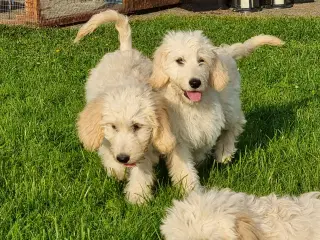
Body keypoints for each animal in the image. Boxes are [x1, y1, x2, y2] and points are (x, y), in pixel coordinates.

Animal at [74, 9, 175, 204]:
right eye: (113, 126)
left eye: (137, 126)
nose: (122, 158)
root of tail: (125, 50)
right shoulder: (105, 138)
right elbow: (108, 155)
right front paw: (117, 171)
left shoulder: (146, 146)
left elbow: (141, 170)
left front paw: (137, 197)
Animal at [149, 31, 284, 192]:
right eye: (179, 60)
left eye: (201, 60)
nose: (195, 82)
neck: (192, 106)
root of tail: (224, 51)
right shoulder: (176, 138)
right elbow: (183, 165)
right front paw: (190, 187)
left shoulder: (208, 125)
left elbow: (202, 146)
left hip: (229, 105)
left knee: (235, 124)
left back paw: (224, 152)